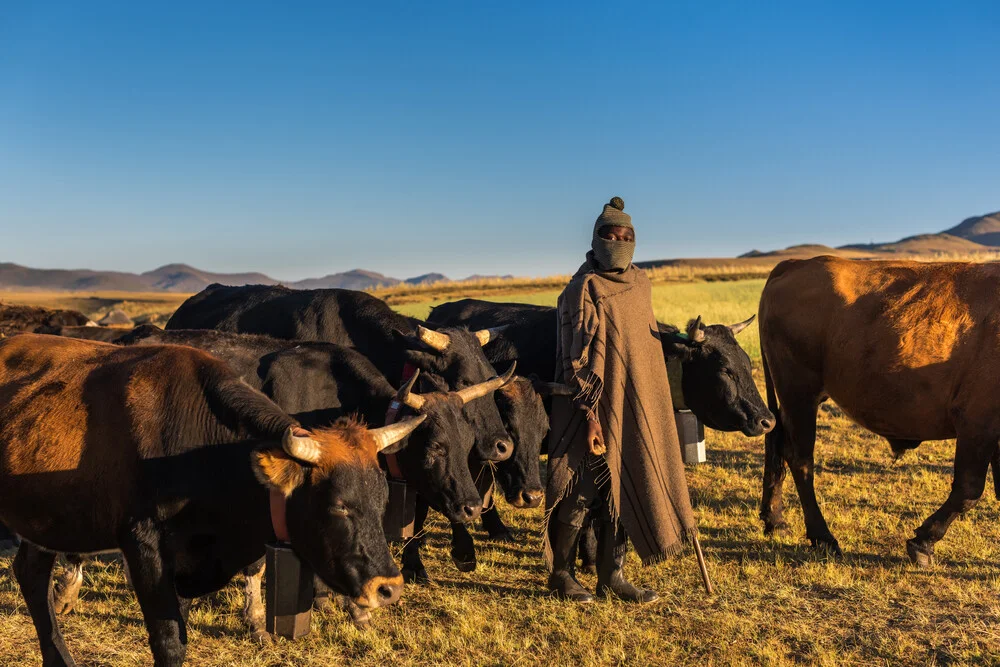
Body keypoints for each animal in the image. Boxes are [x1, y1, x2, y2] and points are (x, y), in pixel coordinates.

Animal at [0, 336, 424, 664]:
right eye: (338, 505)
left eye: (382, 499)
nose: (389, 588)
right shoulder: (144, 548)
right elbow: (169, 642)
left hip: (45, 520)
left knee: (32, 576)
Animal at [756, 258, 1000, 568]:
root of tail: (797, 263)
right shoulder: (977, 422)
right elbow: (968, 491)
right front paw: (923, 543)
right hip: (798, 393)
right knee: (800, 459)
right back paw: (823, 537)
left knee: (775, 442)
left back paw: (774, 520)